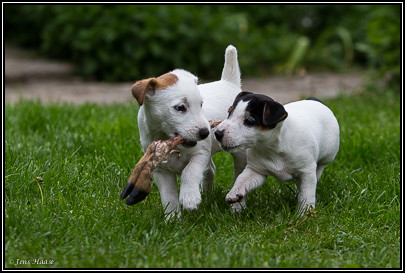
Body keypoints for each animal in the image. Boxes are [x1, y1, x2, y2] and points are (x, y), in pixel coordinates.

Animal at [129, 45, 246, 218]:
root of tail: (228, 83)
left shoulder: (200, 154)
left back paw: (238, 207)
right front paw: (172, 218)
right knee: (211, 170)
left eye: (201, 104)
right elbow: (168, 195)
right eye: (180, 107)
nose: (206, 133)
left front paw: (189, 198)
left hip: (239, 152)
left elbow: (189, 172)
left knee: (240, 174)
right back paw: (207, 195)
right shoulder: (161, 170)